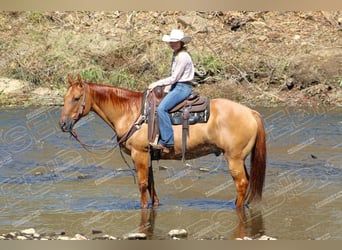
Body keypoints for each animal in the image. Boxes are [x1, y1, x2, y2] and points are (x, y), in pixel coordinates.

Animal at [59, 75, 268, 210]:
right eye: (65, 98)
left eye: (76, 99)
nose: (63, 124)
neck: (131, 112)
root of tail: (251, 112)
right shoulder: (148, 156)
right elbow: (152, 185)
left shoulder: (139, 154)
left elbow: (143, 184)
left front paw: (143, 207)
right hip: (240, 158)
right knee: (247, 182)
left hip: (234, 158)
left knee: (241, 183)